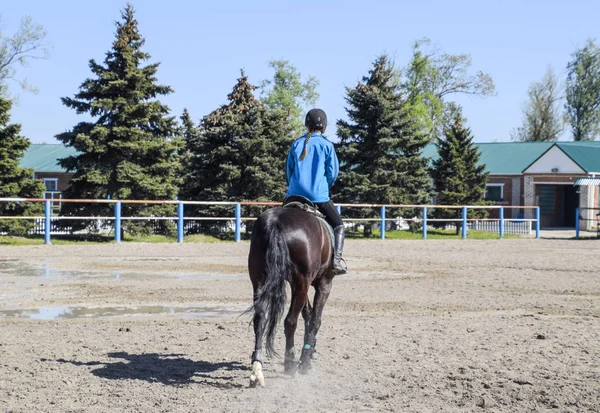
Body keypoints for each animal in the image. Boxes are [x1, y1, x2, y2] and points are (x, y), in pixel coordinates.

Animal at [246, 200, 336, 386]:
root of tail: (276, 222)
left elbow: (307, 313)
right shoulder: (324, 282)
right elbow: (315, 319)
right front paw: (306, 360)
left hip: (260, 279)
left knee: (260, 318)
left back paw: (257, 368)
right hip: (302, 281)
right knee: (290, 321)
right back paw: (290, 362)